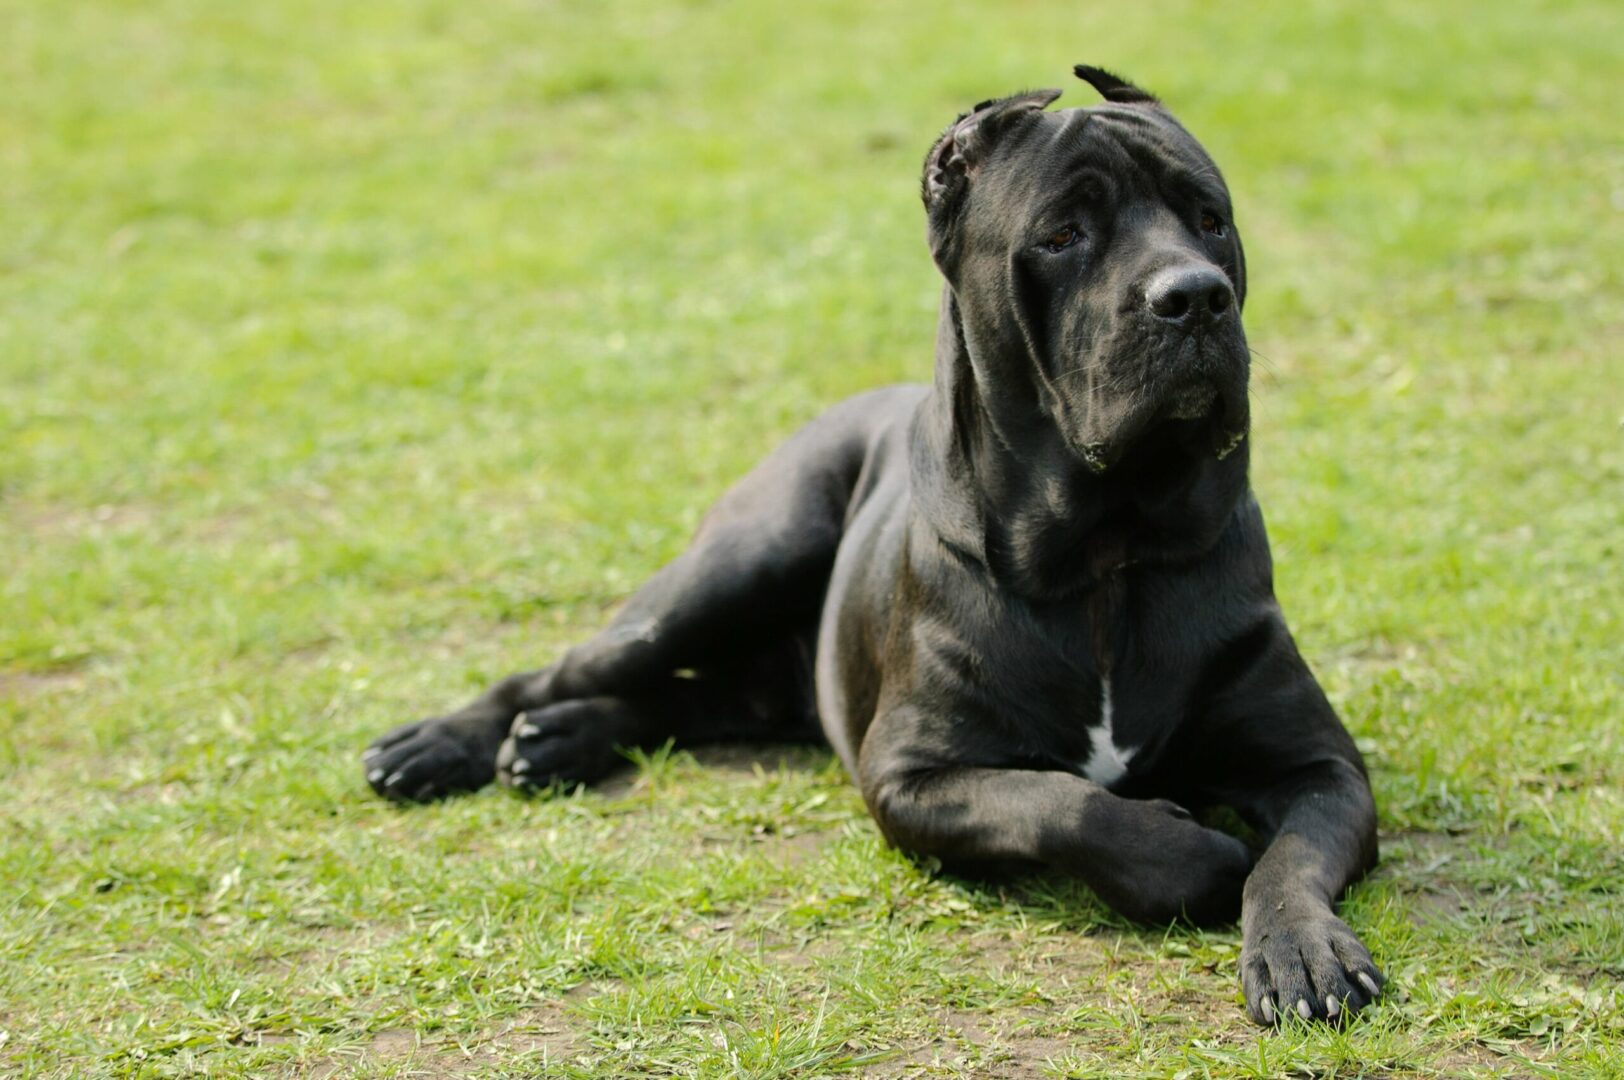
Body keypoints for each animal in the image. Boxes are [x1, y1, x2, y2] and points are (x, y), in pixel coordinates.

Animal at [365, 69, 1383, 1026]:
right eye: (1062, 236)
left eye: (1209, 220)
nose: (1195, 296)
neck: (1105, 554)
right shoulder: (910, 775)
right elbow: (1069, 804)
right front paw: (1196, 843)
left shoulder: (1321, 768)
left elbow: (1290, 859)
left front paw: (1301, 953)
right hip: (731, 567)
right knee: (571, 666)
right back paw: (439, 745)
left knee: (699, 698)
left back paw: (559, 740)